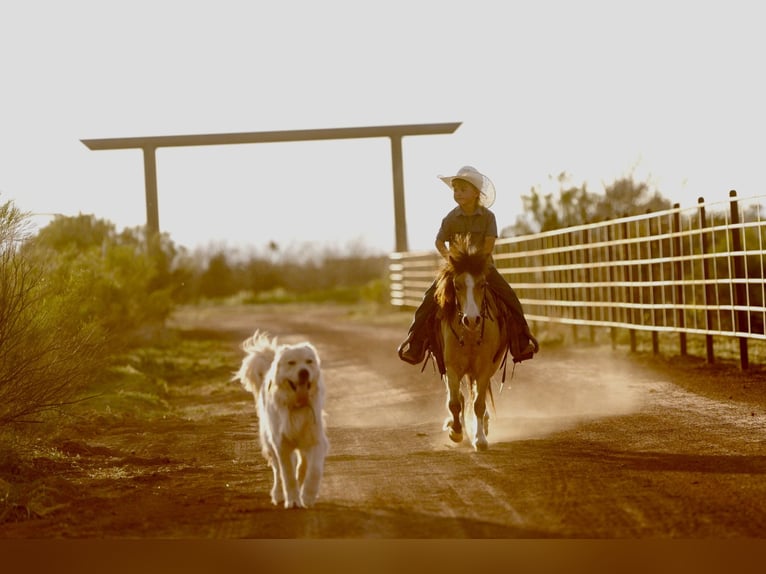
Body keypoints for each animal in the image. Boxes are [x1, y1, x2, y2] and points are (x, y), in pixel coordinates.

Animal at [433, 235, 510, 451]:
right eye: (457, 285)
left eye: (482, 284)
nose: (472, 319)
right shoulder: (451, 368)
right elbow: (455, 402)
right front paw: (456, 432)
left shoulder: (483, 369)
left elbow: (478, 404)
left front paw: (480, 439)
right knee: (459, 397)